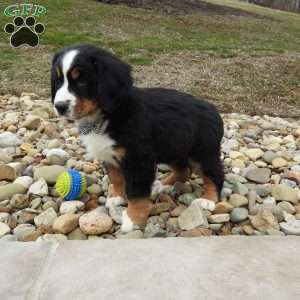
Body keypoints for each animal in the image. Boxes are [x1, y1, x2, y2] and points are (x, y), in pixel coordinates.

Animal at [50, 44, 224, 232]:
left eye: (82, 80)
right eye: (58, 80)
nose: (59, 106)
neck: (108, 114)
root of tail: (214, 110)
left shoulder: (138, 159)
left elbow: (136, 191)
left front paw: (133, 219)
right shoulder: (109, 155)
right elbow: (116, 178)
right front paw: (118, 198)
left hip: (203, 152)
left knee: (214, 174)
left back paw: (208, 199)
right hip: (174, 147)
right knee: (183, 170)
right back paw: (163, 185)